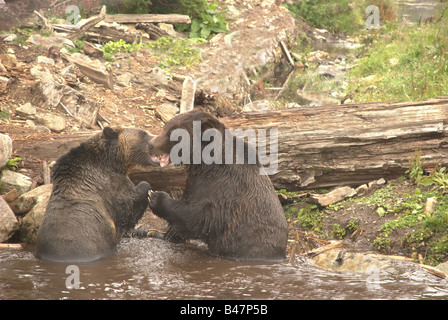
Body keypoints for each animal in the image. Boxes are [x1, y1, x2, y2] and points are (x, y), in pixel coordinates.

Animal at [147, 109, 288, 260]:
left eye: (172, 133)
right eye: (165, 126)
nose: (150, 144)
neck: (204, 164)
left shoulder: (223, 188)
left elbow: (199, 217)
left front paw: (155, 196)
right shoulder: (195, 180)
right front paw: (157, 233)